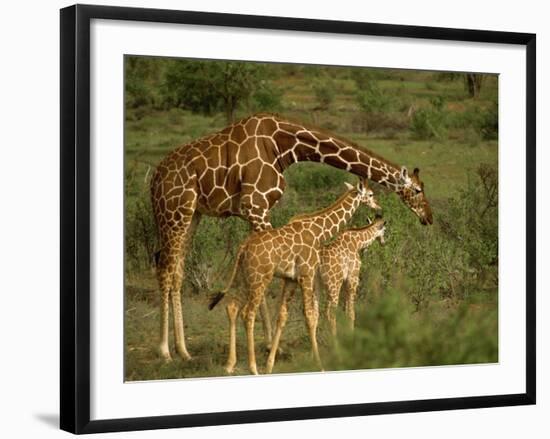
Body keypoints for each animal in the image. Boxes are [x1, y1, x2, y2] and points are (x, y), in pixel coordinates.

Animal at [209, 179, 382, 374]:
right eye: (370, 194)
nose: (378, 207)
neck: (318, 231)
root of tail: (243, 247)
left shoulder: (290, 279)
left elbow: (282, 316)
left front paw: (270, 365)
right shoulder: (306, 274)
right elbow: (311, 316)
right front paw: (319, 365)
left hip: (245, 278)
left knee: (232, 307)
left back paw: (230, 365)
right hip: (260, 278)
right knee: (248, 313)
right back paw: (253, 368)